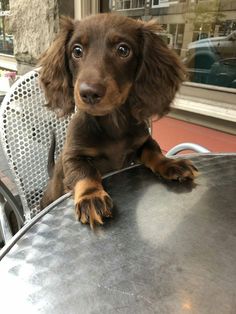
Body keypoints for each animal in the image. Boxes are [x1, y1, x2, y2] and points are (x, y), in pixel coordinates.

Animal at [40, 13, 197, 227]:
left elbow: (154, 151)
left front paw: (170, 163)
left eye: (123, 50)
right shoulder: (73, 155)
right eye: (77, 51)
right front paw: (91, 196)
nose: (89, 93)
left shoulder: (144, 140)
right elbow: (85, 172)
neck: (112, 123)